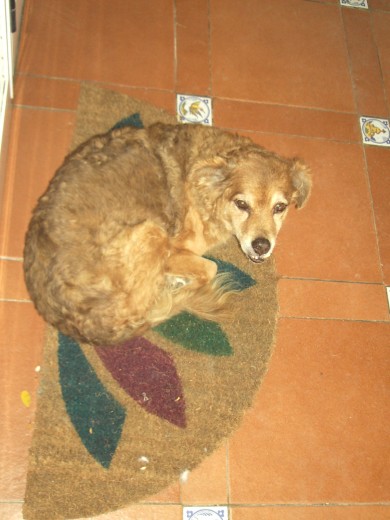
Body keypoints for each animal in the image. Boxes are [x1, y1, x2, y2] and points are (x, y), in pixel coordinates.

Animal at [23, 123, 310, 346]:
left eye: (280, 207)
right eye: (241, 204)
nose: (262, 245)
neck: (206, 189)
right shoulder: (174, 250)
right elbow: (210, 268)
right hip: (152, 232)